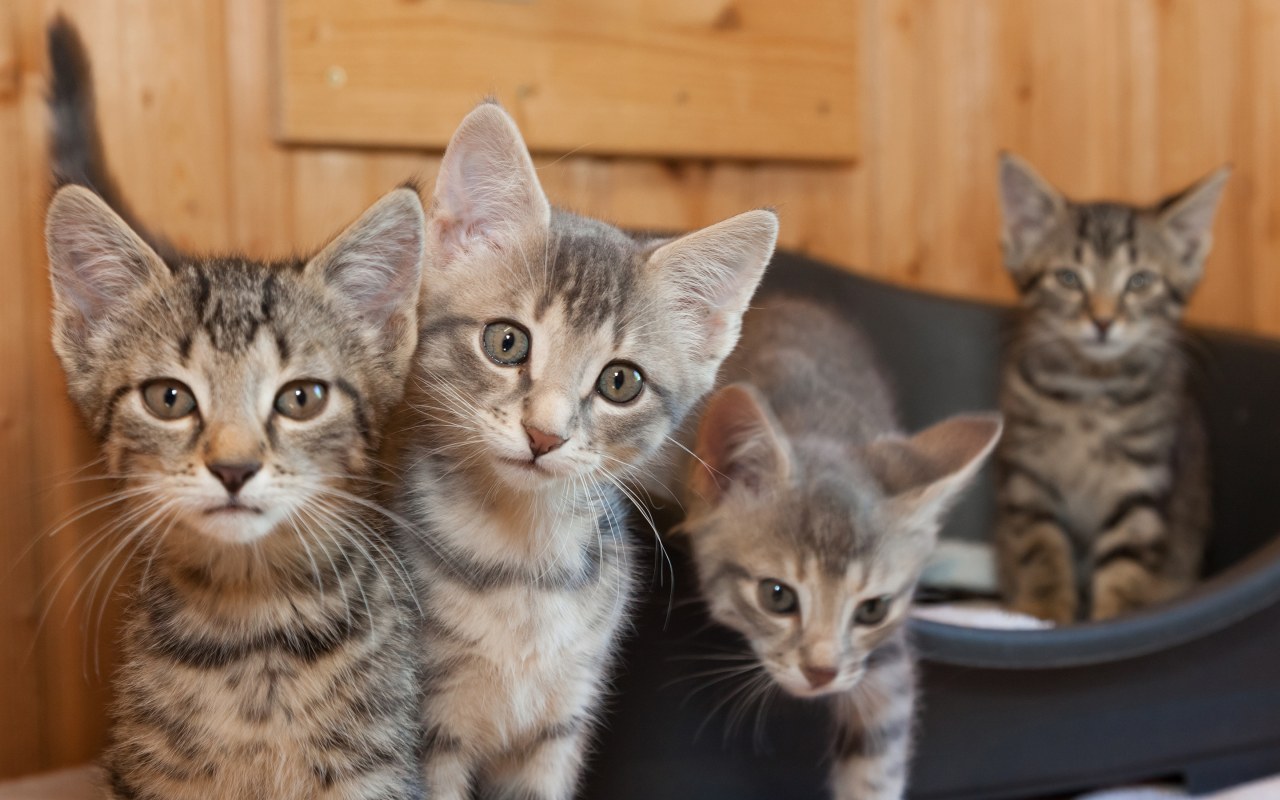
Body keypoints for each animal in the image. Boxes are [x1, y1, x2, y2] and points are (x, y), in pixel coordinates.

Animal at [46, 20, 424, 798]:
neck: (255, 632)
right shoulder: (144, 771)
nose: (233, 468)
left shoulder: (377, 767)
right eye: (169, 398)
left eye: (302, 398)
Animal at [404, 101, 773, 798]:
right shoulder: (425, 732)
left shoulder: (560, 726)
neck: (525, 564)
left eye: (620, 382)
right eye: (506, 343)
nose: (545, 435)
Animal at [680, 296, 998, 798]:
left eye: (872, 610)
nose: (822, 673)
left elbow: (878, 757)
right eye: (776, 596)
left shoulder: (883, 663)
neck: (819, 424)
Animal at [993, 151, 1223, 624]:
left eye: (1139, 281)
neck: (1089, 391)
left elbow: (1127, 562)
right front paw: (1043, 612)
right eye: (1068, 278)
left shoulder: (1140, 481)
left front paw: (1114, 618)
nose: (1102, 320)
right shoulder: (1028, 476)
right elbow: (1041, 546)